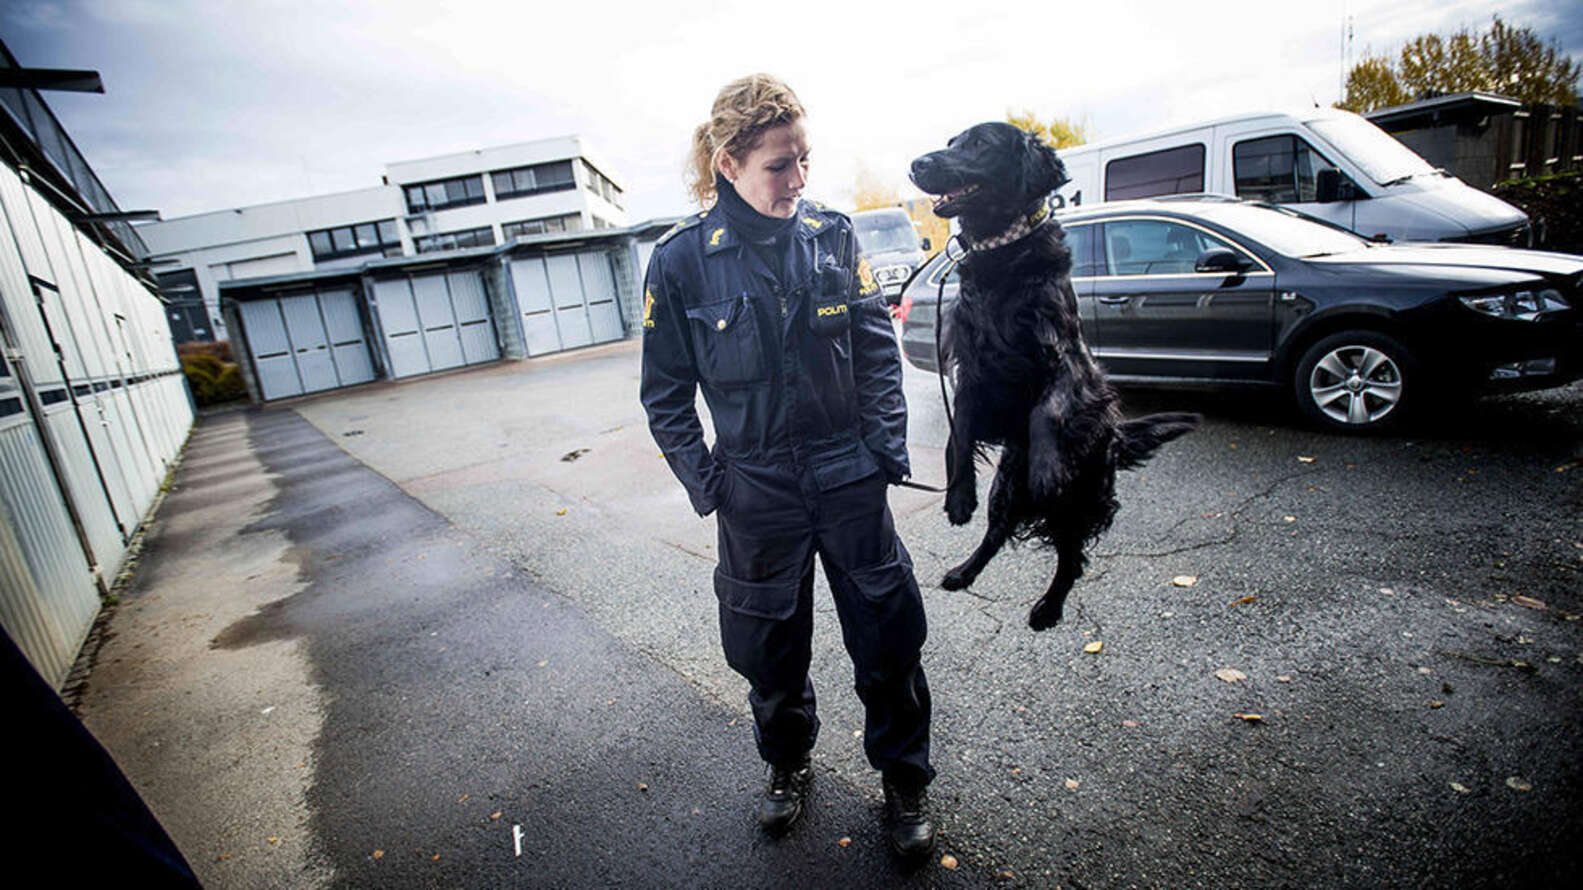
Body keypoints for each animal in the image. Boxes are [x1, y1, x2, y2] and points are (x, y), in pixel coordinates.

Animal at [911, 121, 1190, 627]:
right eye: (951, 142)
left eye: (979, 144)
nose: (916, 164)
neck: (1003, 257)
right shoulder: (971, 367)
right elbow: (959, 434)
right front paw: (958, 497)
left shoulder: (1065, 359)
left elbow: (1048, 411)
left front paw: (1045, 470)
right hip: (1004, 486)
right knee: (996, 535)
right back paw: (964, 571)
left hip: (1076, 501)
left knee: (1071, 558)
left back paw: (1049, 606)